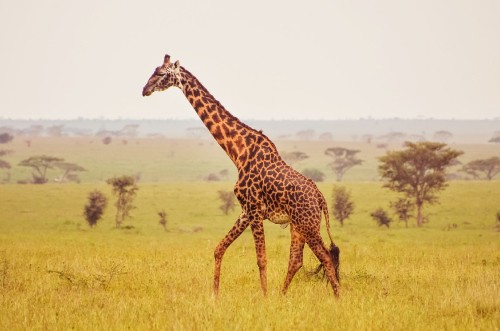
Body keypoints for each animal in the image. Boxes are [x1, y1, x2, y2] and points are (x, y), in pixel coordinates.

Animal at [143, 54, 342, 298]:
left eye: (162, 73)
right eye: (154, 70)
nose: (144, 89)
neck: (238, 152)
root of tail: (321, 199)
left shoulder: (255, 209)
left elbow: (261, 259)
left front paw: (264, 298)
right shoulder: (245, 210)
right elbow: (219, 248)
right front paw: (214, 295)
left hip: (308, 224)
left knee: (326, 256)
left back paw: (337, 298)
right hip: (297, 225)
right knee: (297, 260)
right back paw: (282, 296)